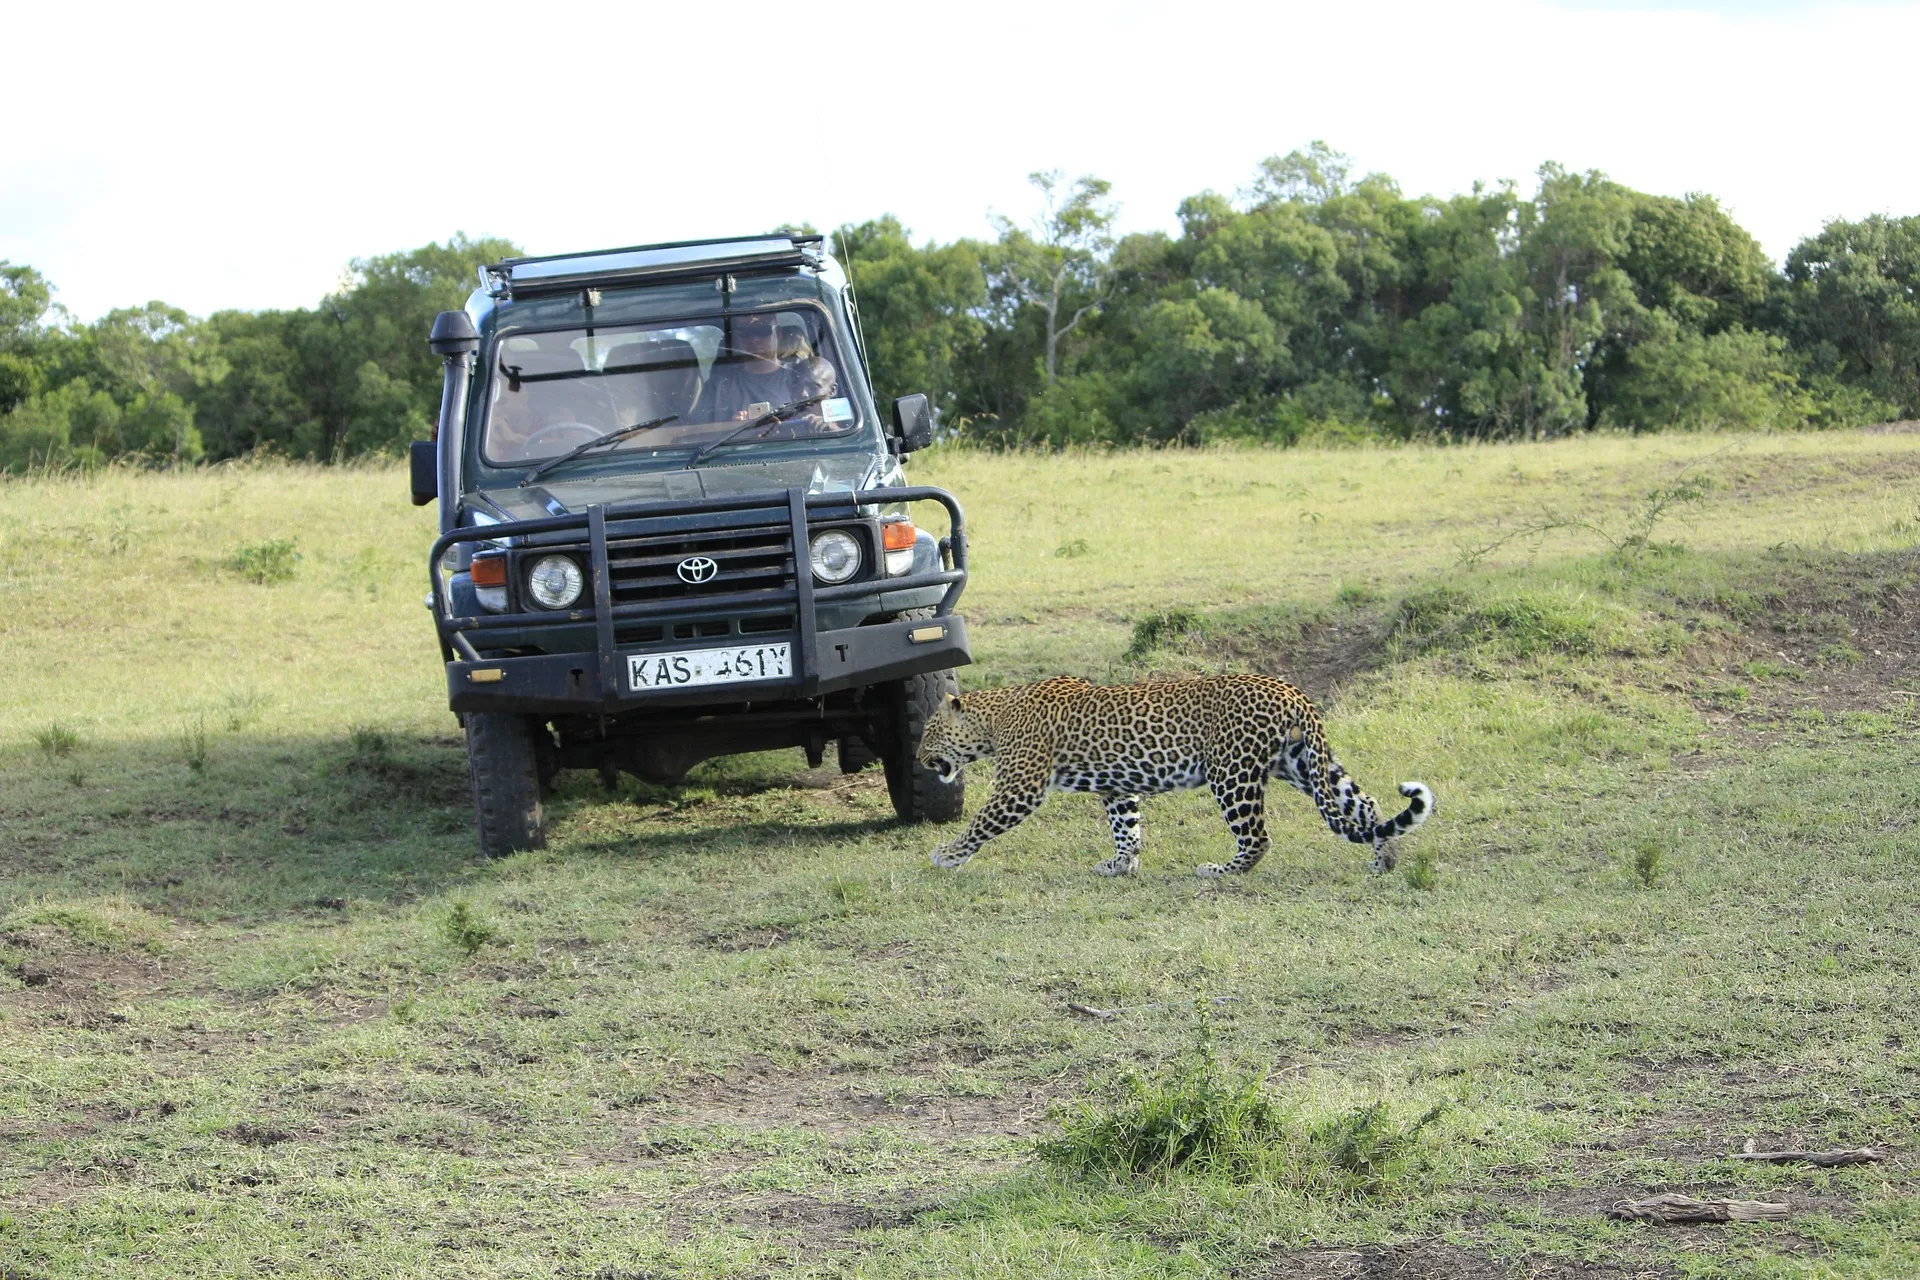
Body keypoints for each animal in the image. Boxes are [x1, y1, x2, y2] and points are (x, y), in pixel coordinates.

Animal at [921, 671, 1436, 882]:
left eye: (928, 732)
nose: (921, 759)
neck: (994, 718)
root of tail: (1289, 689)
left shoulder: (1020, 787)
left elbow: (981, 823)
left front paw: (947, 856)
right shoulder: (1117, 786)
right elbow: (1127, 828)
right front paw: (1121, 866)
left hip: (1232, 771)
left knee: (1258, 838)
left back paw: (1218, 871)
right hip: (1303, 763)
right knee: (1366, 806)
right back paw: (1383, 861)